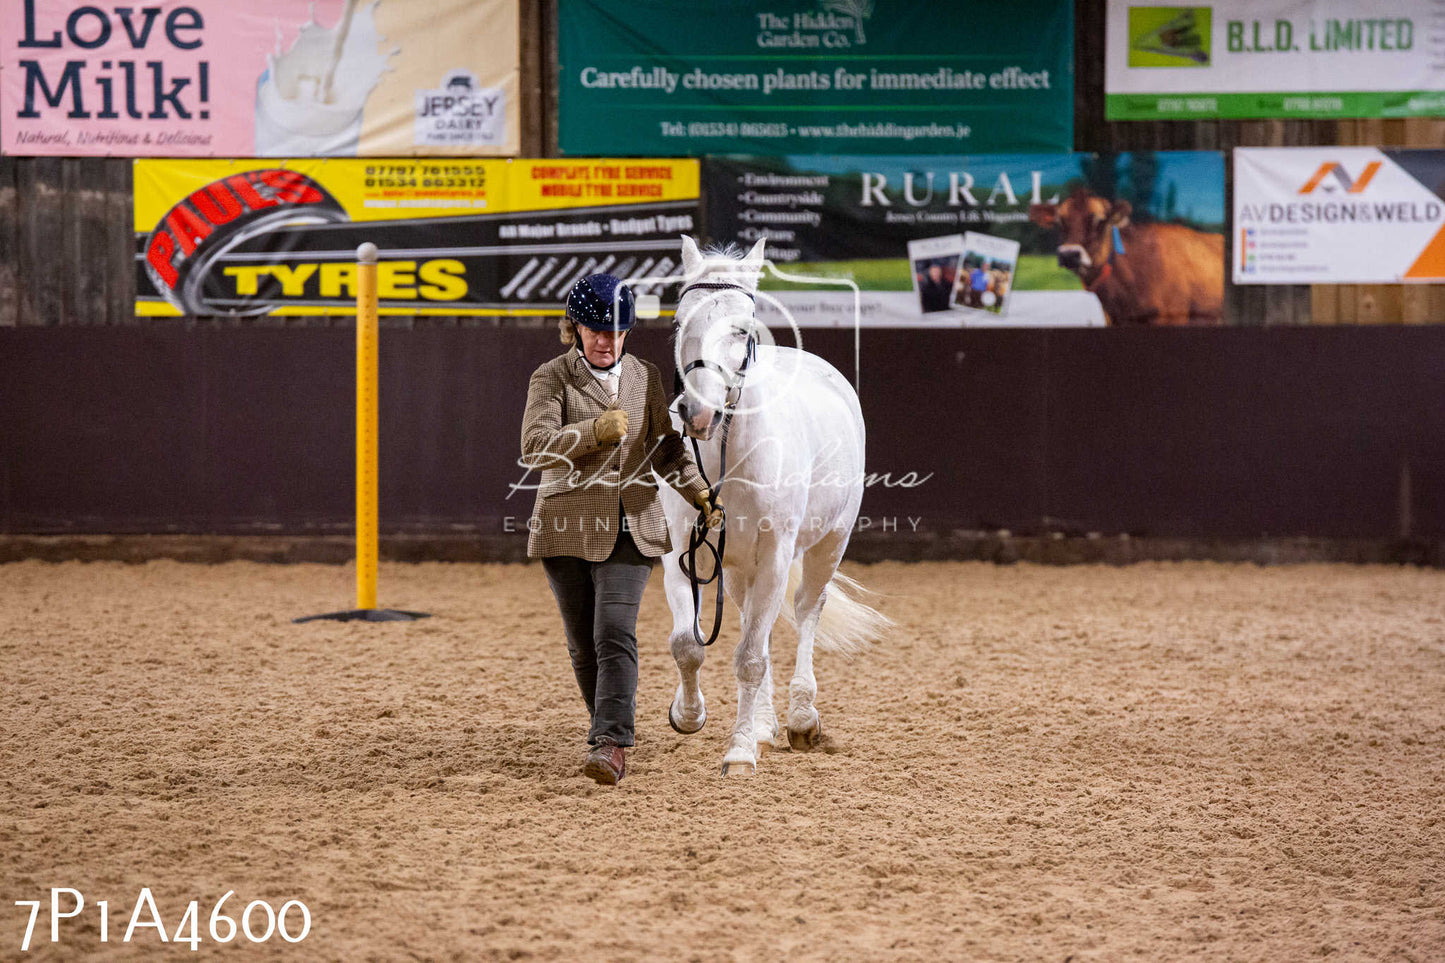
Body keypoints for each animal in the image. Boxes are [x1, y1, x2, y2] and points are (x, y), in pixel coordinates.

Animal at [658, 238, 884, 775]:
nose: (697, 414)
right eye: (679, 321)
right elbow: (687, 645)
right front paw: (689, 715)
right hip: (740, 565)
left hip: (827, 545)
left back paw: (801, 719)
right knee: (749, 623)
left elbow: (751, 658)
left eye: (741, 329)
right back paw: (763, 724)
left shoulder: (778, 554)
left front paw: (739, 753)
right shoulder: (680, 550)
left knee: (804, 610)